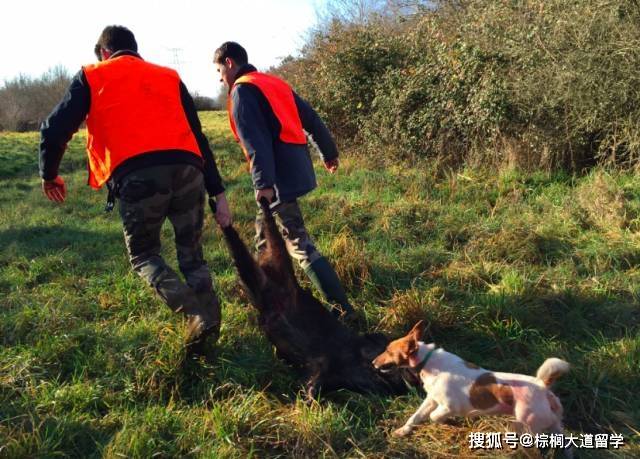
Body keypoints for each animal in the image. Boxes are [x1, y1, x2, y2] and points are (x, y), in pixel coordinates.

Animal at [370, 322, 568, 440]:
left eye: (388, 351)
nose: (372, 363)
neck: (428, 361)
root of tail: (542, 386)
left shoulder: (449, 406)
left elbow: (434, 416)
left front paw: (447, 422)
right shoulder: (431, 399)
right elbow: (416, 416)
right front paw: (404, 430)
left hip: (527, 426)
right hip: (554, 426)